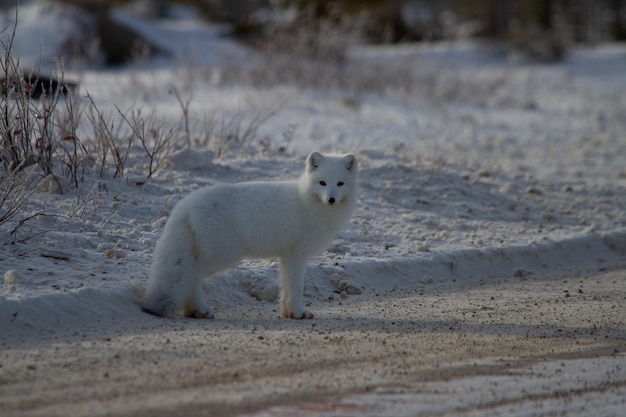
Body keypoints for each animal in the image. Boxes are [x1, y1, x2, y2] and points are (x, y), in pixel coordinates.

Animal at [141, 152, 356, 318]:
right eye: (322, 183)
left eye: (340, 183)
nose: (331, 199)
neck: (307, 201)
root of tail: (185, 204)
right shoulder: (297, 255)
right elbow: (296, 288)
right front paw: (297, 312)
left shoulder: (287, 257)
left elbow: (286, 288)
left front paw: (289, 313)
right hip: (223, 255)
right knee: (191, 277)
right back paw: (200, 310)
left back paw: (192, 311)